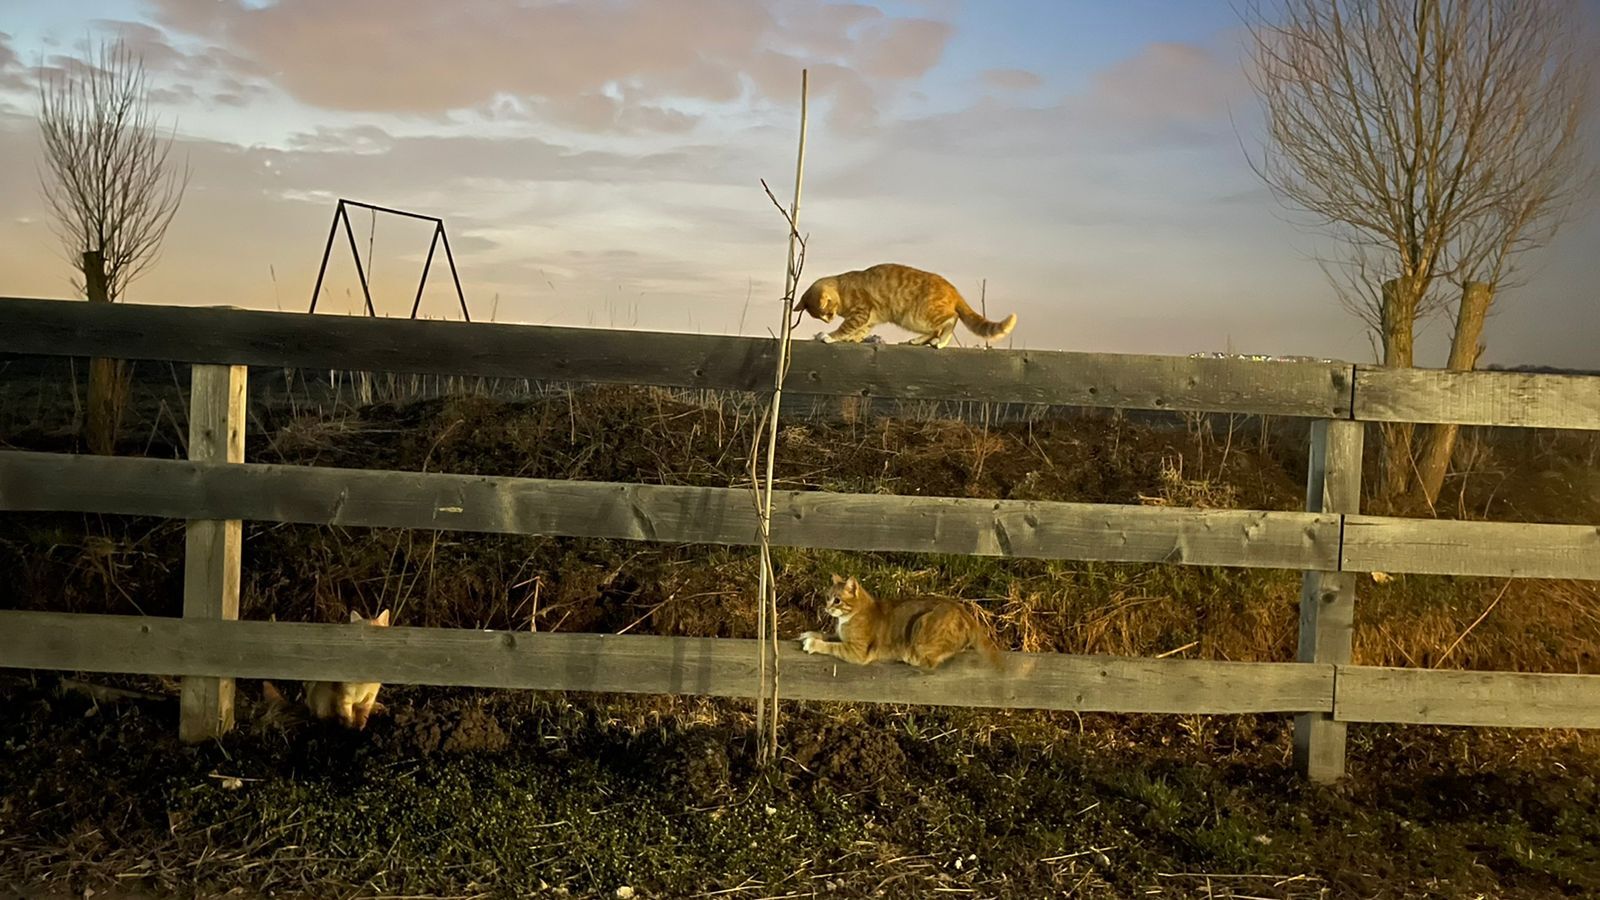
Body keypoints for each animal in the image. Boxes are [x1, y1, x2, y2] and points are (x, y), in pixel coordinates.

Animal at [793, 262, 1017, 347]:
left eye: (827, 313)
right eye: (821, 316)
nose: (828, 321)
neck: (842, 286)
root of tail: (952, 288)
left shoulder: (861, 312)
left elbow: (846, 327)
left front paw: (830, 336)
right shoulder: (868, 320)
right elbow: (859, 331)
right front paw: (851, 339)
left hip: (919, 314)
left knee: (950, 320)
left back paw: (941, 342)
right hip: (913, 320)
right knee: (934, 330)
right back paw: (918, 341)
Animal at [796, 573, 998, 666]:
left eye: (837, 600)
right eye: (827, 597)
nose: (826, 608)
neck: (846, 619)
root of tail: (963, 610)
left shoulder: (856, 651)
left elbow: (831, 646)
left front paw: (812, 643)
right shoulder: (840, 635)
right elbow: (827, 634)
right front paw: (809, 634)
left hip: (922, 625)